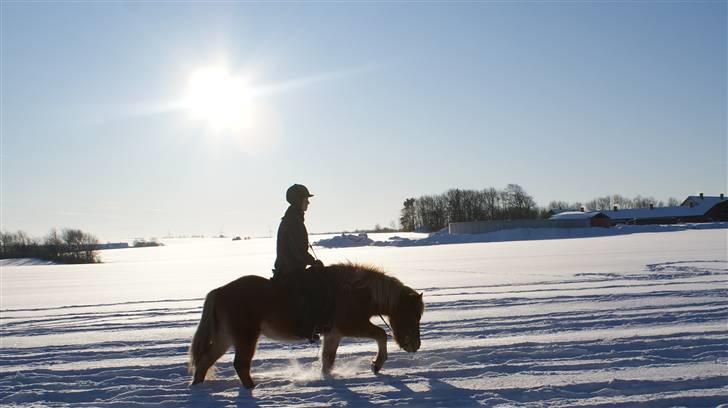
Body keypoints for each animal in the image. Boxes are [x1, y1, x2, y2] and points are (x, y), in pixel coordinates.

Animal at [189, 262, 426, 388]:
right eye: (412, 315)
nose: (415, 346)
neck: (353, 291)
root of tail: (220, 291)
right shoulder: (351, 325)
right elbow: (381, 335)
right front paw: (376, 364)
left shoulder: (334, 334)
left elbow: (327, 360)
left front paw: (327, 378)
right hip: (245, 337)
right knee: (240, 364)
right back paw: (253, 389)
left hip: (226, 338)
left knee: (205, 360)